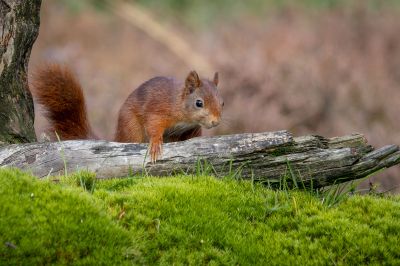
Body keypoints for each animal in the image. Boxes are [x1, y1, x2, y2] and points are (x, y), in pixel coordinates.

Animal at [32, 65, 222, 163]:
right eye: (199, 103)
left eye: (222, 103)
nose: (216, 122)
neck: (179, 103)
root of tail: (118, 136)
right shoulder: (159, 110)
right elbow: (154, 125)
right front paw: (155, 143)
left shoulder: (190, 127)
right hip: (131, 128)